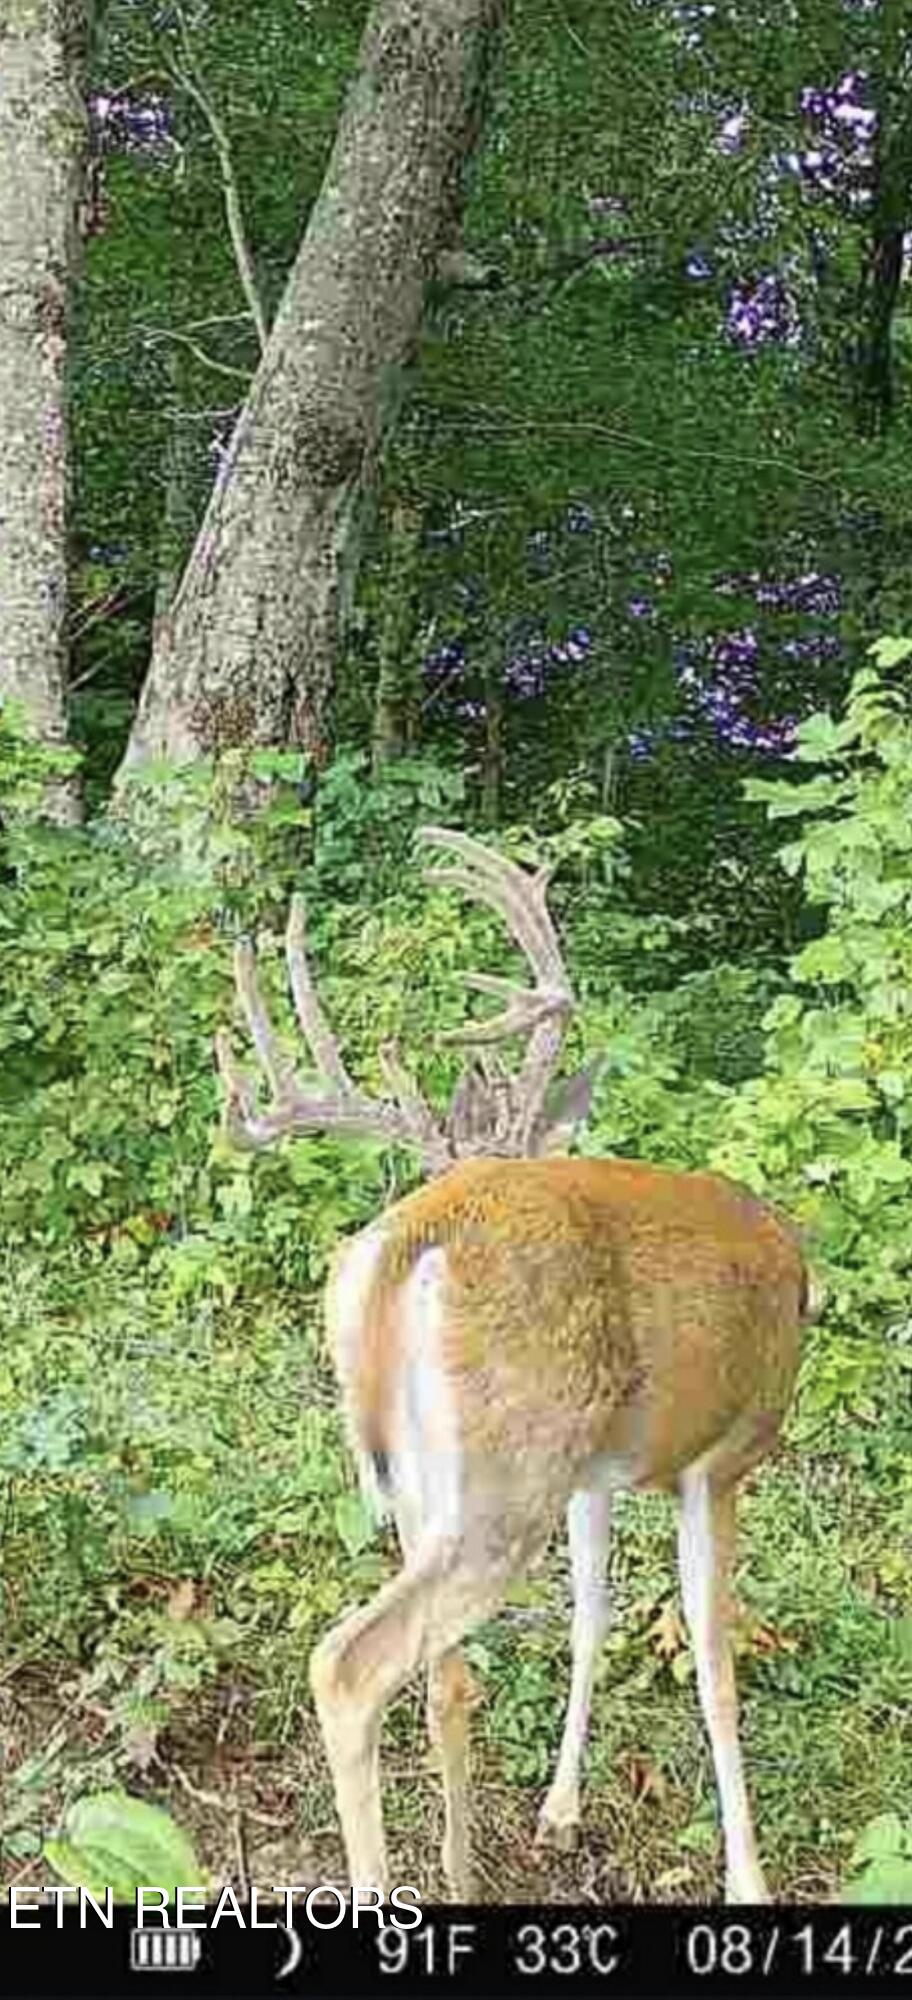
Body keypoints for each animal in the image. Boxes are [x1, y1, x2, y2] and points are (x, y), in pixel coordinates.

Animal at [215, 826, 810, 1907]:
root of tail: (416, 1235)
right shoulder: (723, 1461)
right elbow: (713, 1656)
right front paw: (748, 1878)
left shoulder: (594, 1472)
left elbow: (589, 1615)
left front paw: (559, 1810)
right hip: (508, 1478)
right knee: (349, 1664)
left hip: (443, 1481)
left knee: (441, 1671)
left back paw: (457, 1868)